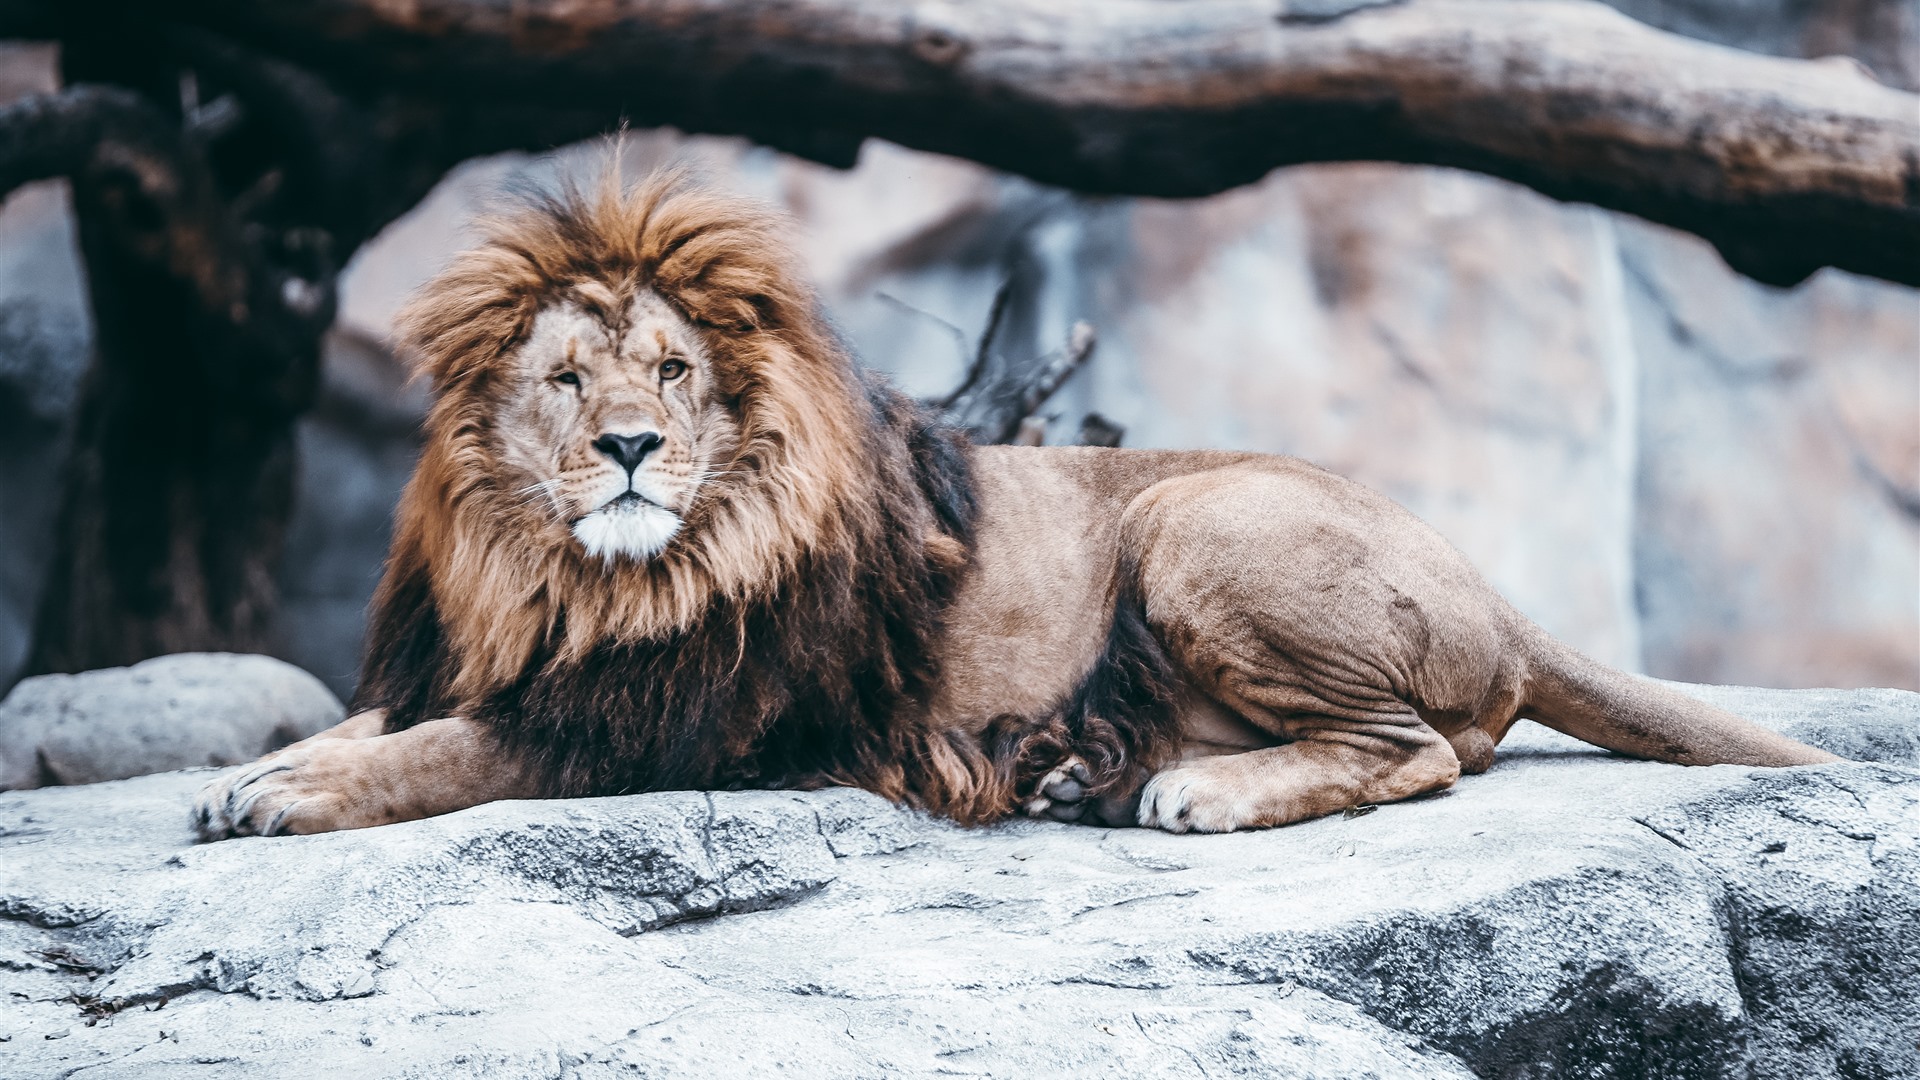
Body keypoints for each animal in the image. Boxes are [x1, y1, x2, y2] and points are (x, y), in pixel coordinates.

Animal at [187, 171, 1835, 837]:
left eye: (671, 369)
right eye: (568, 378)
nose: (637, 446)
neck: (573, 571)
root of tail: (1500, 595)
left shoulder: (663, 723)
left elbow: (443, 754)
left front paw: (289, 797)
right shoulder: (499, 656)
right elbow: (384, 717)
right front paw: (260, 770)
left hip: (1192, 526)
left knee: (1420, 750)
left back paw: (1193, 793)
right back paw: (1086, 775)